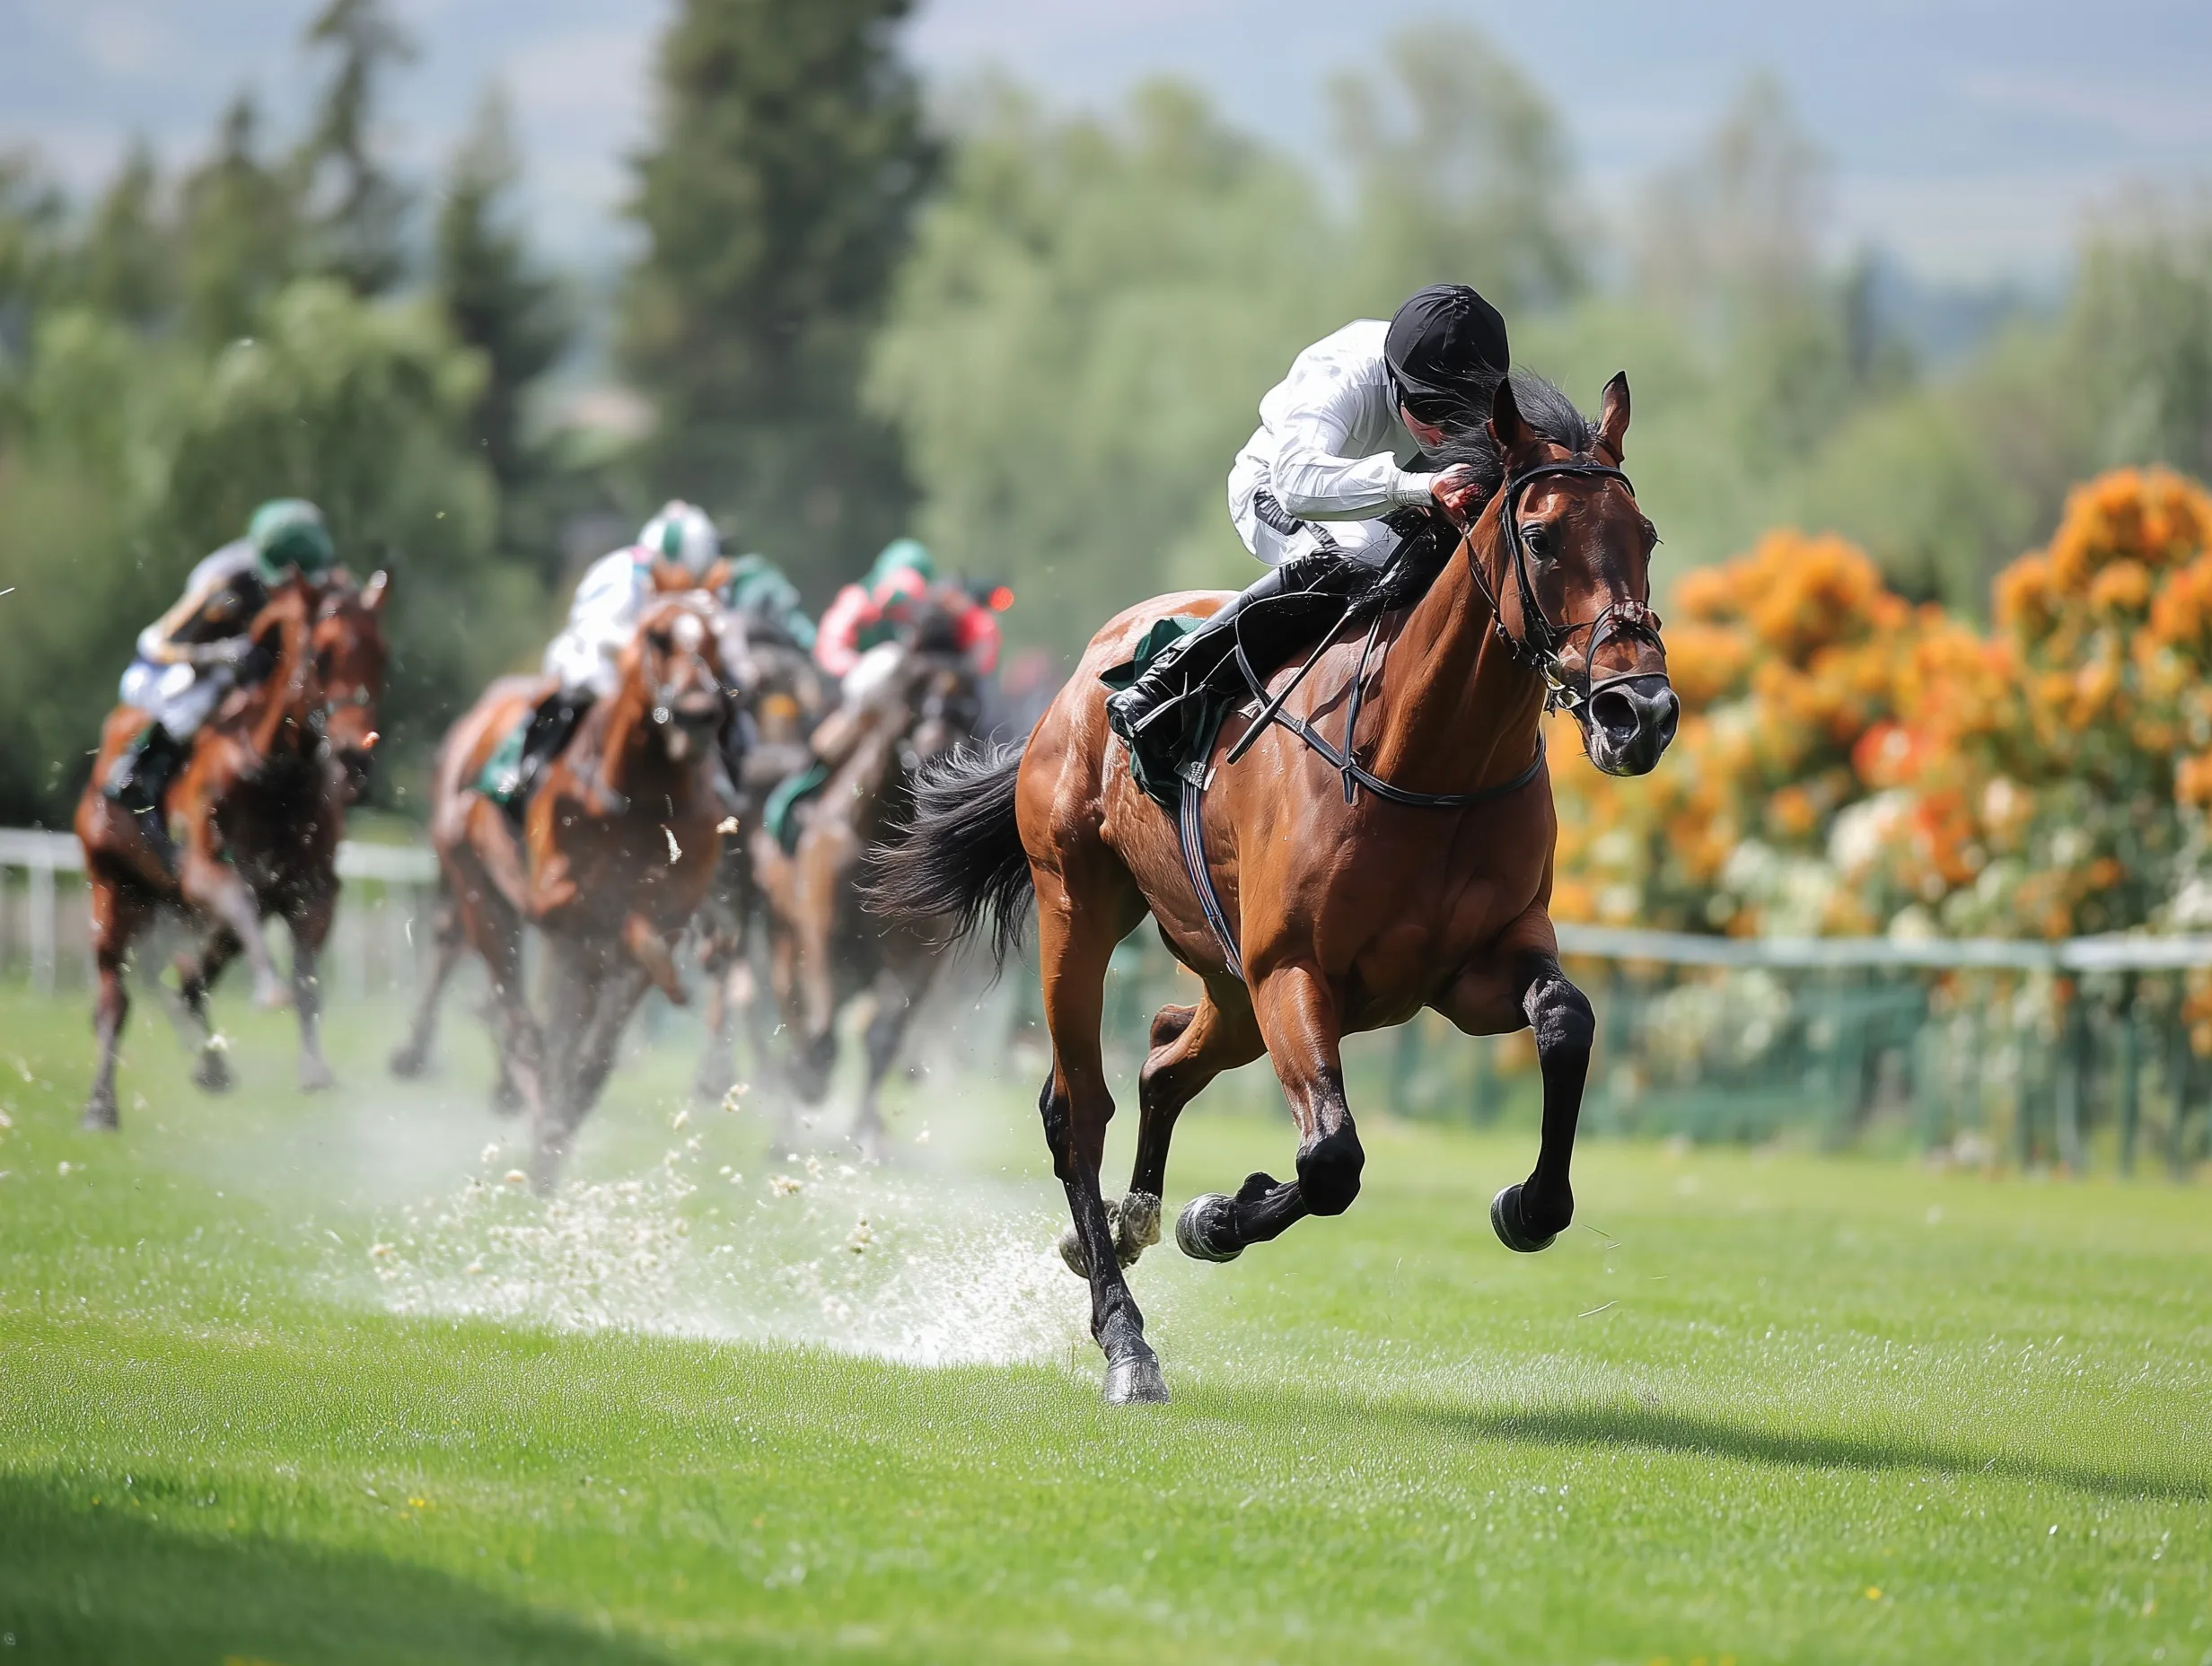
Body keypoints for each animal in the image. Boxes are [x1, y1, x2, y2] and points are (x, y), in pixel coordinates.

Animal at [76, 570, 392, 1128]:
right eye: (321, 655)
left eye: (383, 657)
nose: (355, 758)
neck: (274, 777)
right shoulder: (205, 870)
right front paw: (268, 993)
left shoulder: (312, 889)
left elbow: (307, 978)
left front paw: (315, 1070)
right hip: (113, 885)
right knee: (115, 996)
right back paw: (100, 1105)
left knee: (190, 976)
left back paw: (210, 1062)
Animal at [392, 594, 731, 1189]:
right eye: (658, 638)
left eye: (715, 639)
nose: (697, 715)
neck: (641, 796)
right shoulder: (563, 905)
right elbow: (612, 941)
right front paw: (550, 1127)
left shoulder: (662, 912)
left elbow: (598, 1045)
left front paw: (567, 1111)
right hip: (481, 892)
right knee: (512, 1007)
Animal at [750, 636, 984, 1157]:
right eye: (921, 702)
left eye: (966, 707)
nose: (943, 760)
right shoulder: (823, 932)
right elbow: (819, 1035)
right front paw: (808, 1079)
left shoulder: (920, 949)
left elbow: (883, 1038)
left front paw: (869, 1132)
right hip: (782, 938)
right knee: (794, 1012)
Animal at [872, 372, 1677, 1402]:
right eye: (1540, 537)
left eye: (1644, 534)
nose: (1639, 713)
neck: (1421, 759)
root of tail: (1081, 675)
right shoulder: (1294, 970)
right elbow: (1330, 1158)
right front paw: (1216, 1218)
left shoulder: (1473, 967)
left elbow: (1566, 1020)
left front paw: (1528, 1204)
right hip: (1080, 908)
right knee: (1077, 1108)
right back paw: (1126, 1338)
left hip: (1227, 980)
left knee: (1165, 1055)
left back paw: (1129, 1224)